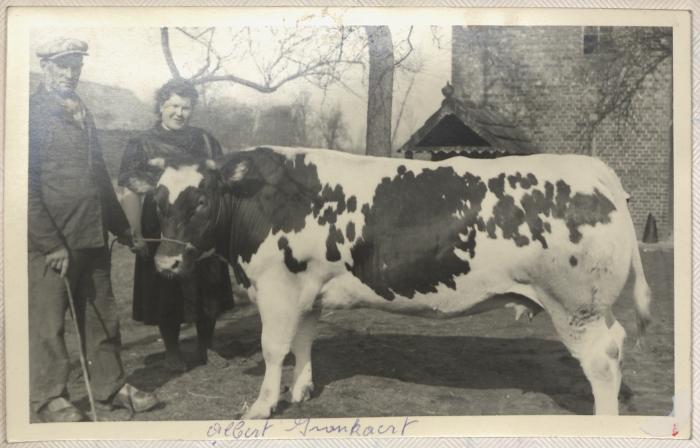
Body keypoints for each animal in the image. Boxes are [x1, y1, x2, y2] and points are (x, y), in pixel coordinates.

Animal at [128, 146, 652, 418]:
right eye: (158, 201)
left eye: (200, 201)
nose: (167, 262)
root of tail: (591, 167)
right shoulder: (308, 290)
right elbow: (304, 341)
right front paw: (301, 391)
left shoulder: (278, 286)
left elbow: (275, 348)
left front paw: (260, 406)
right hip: (591, 307)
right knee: (619, 341)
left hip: (576, 306)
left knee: (602, 360)